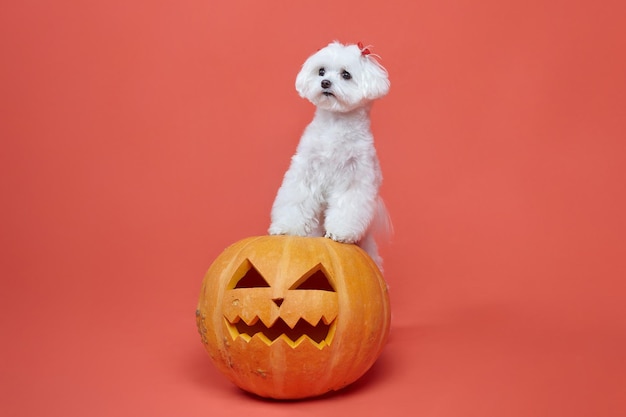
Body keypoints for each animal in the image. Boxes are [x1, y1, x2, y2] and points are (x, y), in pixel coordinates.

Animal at [268, 41, 390, 266]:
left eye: (346, 75)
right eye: (321, 71)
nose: (325, 83)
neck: (335, 124)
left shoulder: (355, 176)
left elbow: (347, 205)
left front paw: (340, 233)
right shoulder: (305, 170)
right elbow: (296, 197)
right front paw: (288, 228)